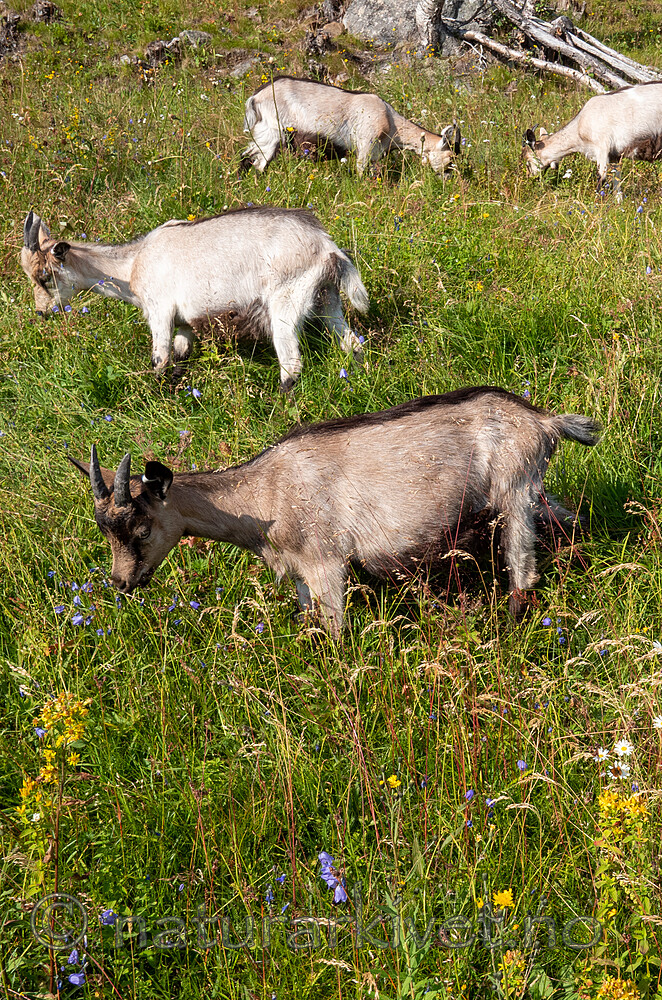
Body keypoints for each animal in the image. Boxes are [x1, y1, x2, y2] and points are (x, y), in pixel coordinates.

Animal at [20, 207, 369, 390]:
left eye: (45, 276)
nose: (40, 312)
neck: (132, 265)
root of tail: (326, 246)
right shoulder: (184, 321)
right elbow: (181, 355)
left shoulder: (159, 311)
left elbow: (160, 360)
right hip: (327, 298)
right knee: (351, 342)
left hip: (286, 299)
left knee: (291, 365)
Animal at [69, 387, 600, 636]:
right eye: (104, 531)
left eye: (142, 527)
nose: (121, 583)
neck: (264, 496)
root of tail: (545, 422)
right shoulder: (301, 573)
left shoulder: (326, 563)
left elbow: (335, 634)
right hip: (532, 493)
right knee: (568, 519)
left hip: (514, 493)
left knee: (523, 568)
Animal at [242, 76, 461, 176]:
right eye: (450, 157)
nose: (450, 178)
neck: (390, 121)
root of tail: (256, 97)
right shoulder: (365, 145)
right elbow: (360, 173)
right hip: (272, 133)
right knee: (258, 163)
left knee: (246, 158)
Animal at [522, 82, 662, 198]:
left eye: (528, 162)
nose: (530, 179)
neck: (579, 127)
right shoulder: (615, 156)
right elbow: (617, 182)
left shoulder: (602, 148)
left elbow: (601, 178)